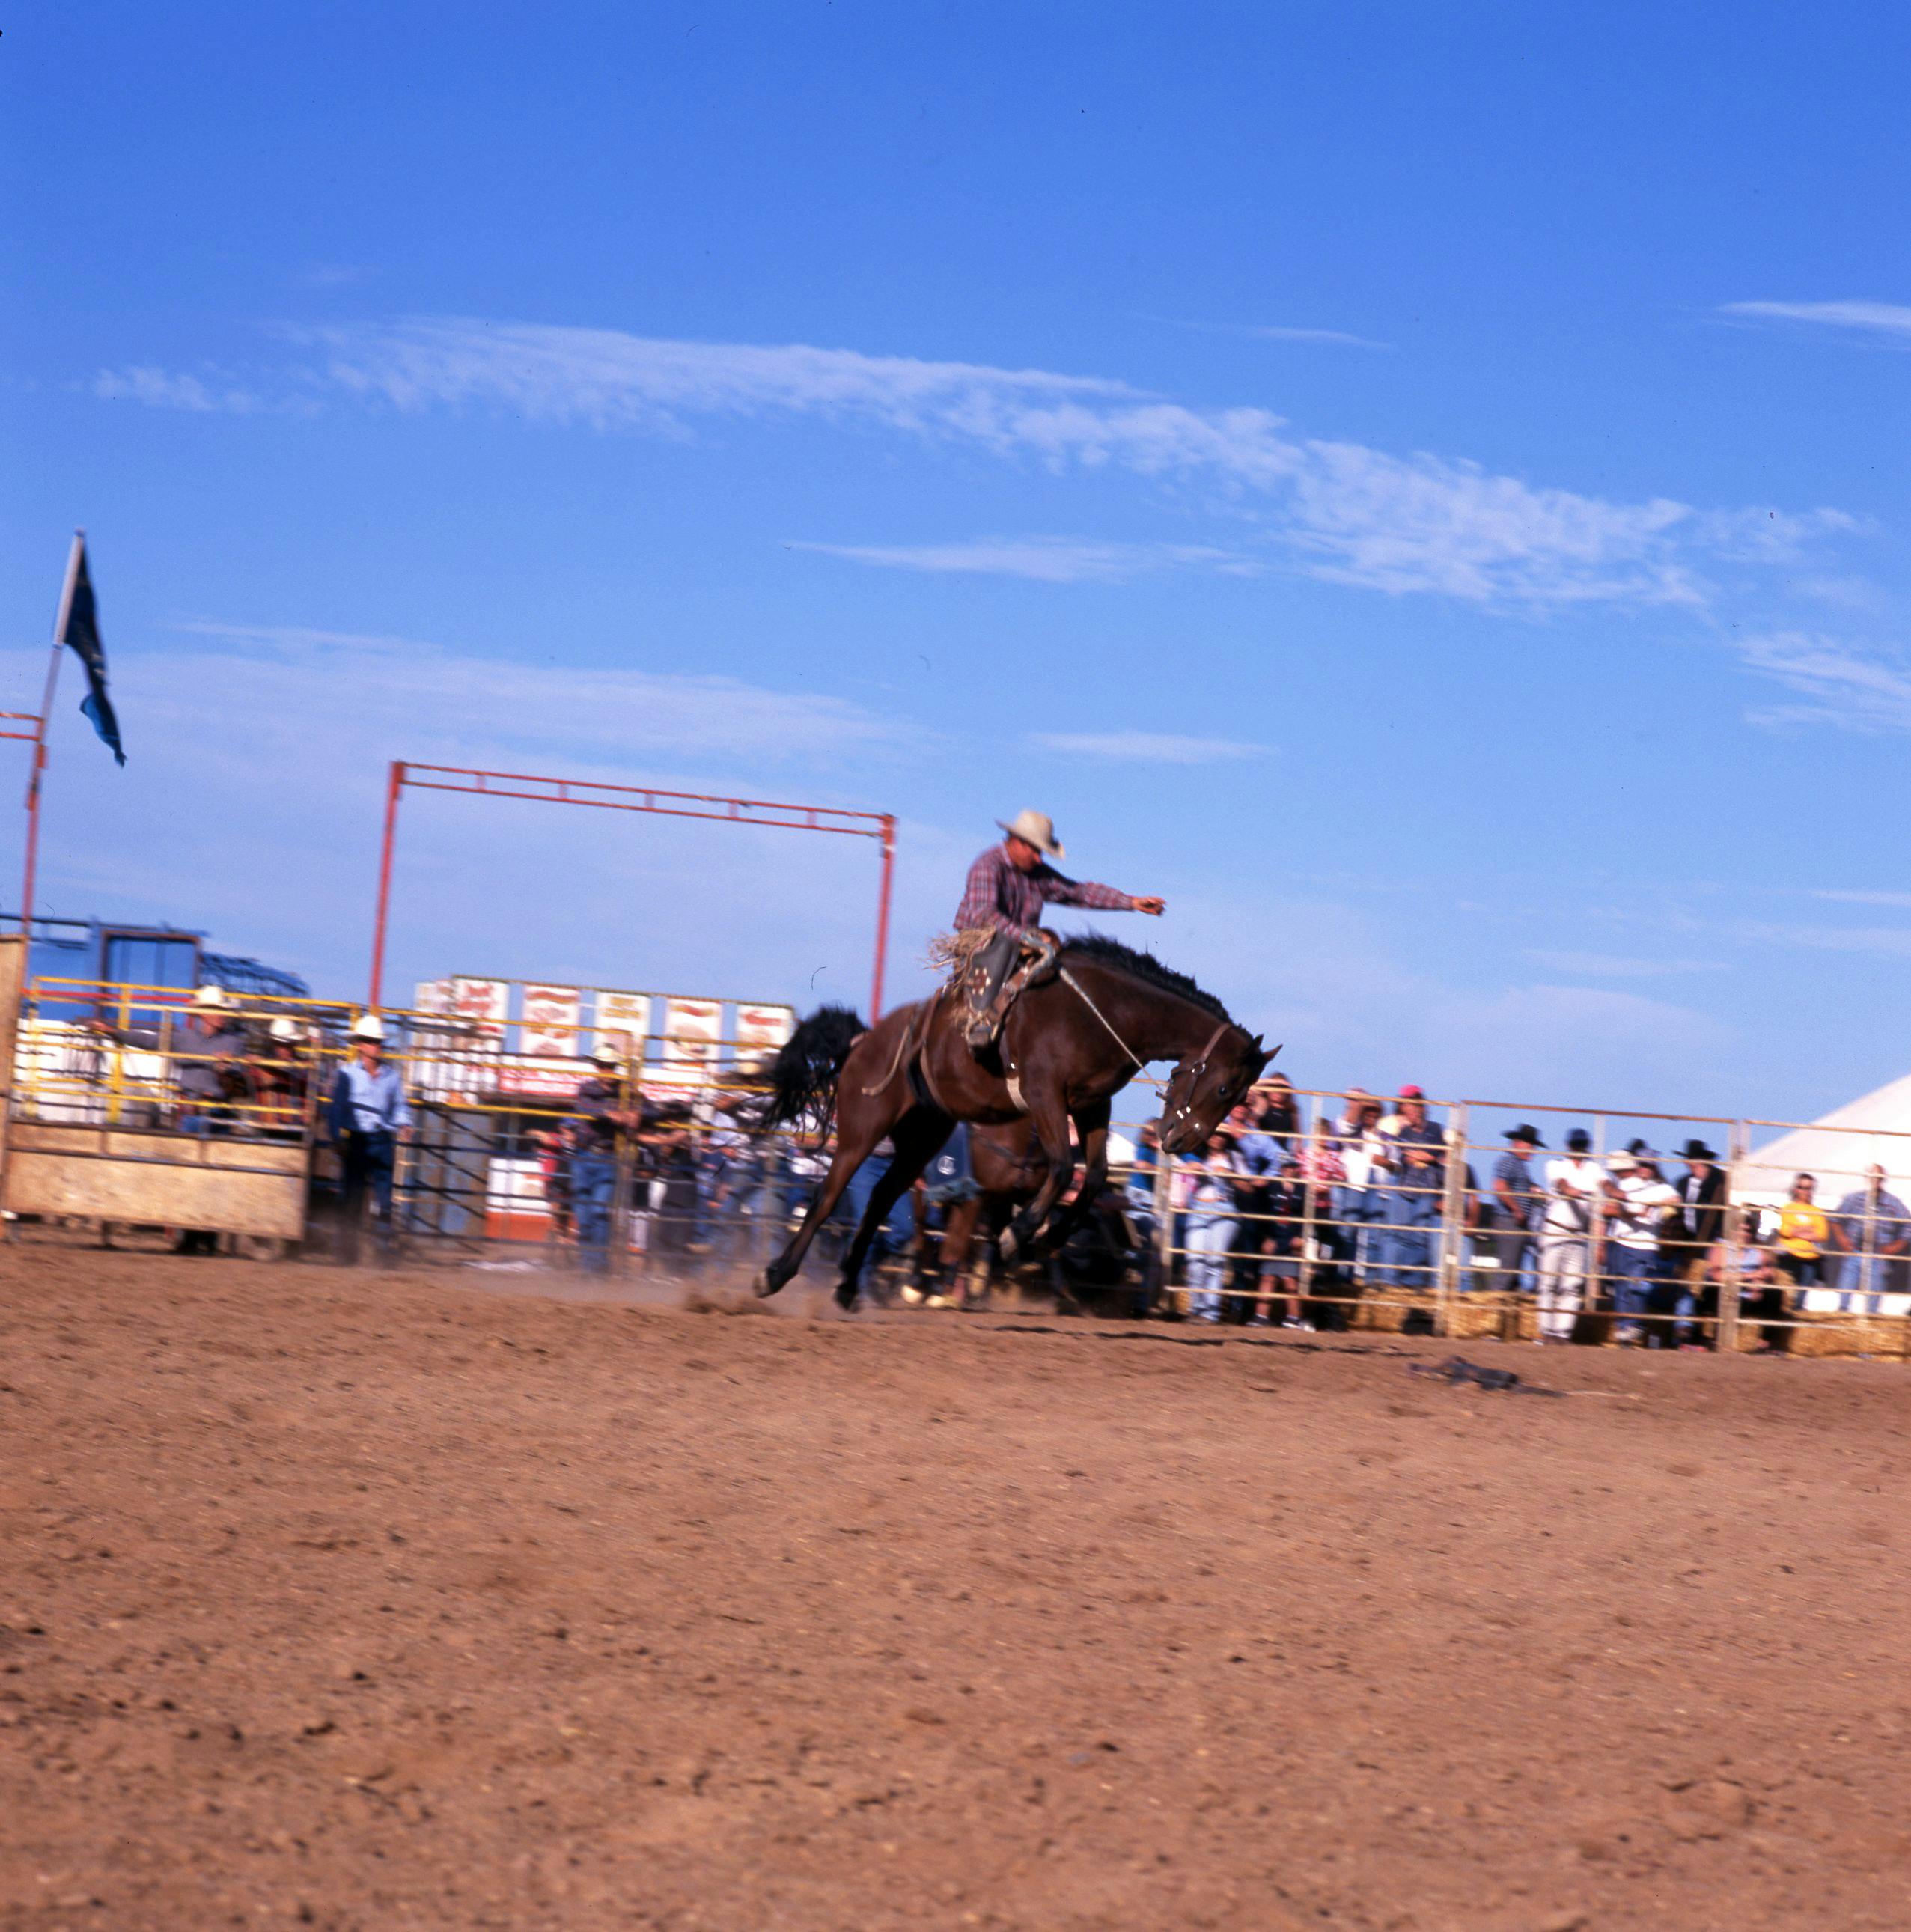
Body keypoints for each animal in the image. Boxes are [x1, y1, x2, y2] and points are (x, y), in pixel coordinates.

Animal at [753, 935, 1275, 1314]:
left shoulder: (1092, 1106)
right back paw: (774, 1275)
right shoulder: (1045, 1096)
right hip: (862, 1127)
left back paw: (847, 1286)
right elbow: (1062, 1169)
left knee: (882, 1198)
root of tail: (864, 1040)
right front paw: (1016, 1237)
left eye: (1240, 1098)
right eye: (1226, 1090)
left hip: (923, 1136)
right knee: (828, 1198)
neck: (1103, 1013)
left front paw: (1048, 1240)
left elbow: (1094, 1176)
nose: (1182, 1140)